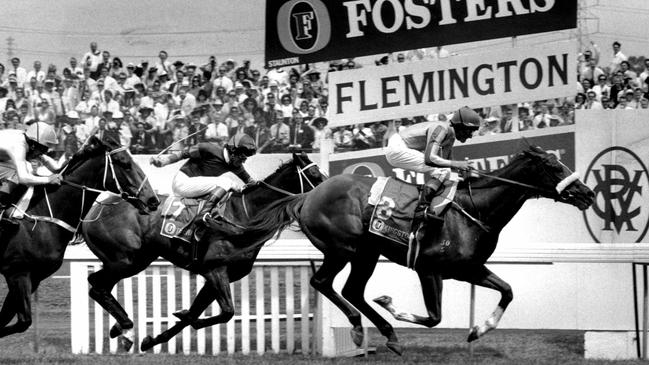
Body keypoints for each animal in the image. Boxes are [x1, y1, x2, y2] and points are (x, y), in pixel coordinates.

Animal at [0, 135, 159, 336]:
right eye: (125, 164)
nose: (153, 200)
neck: (42, 216)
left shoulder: (33, 277)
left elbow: (7, 318)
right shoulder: (17, 273)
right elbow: (21, 322)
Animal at [81, 151, 324, 350]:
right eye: (314, 174)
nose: (328, 190)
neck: (244, 217)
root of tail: (93, 211)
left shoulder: (217, 277)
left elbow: (197, 313)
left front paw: (154, 338)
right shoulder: (214, 270)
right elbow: (226, 312)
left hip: (135, 260)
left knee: (101, 286)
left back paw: (120, 328)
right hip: (126, 261)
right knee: (96, 285)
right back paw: (125, 328)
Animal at [242, 145, 592, 352]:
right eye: (554, 167)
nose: (587, 193)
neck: (474, 209)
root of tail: (307, 196)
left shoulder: (468, 268)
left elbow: (507, 290)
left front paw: (479, 330)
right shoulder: (429, 268)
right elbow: (434, 317)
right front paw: (391, 304)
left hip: (366, 253)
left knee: (351, 289)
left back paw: (385, 333)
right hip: (344, 249)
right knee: (323, 282)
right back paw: (360, 327)